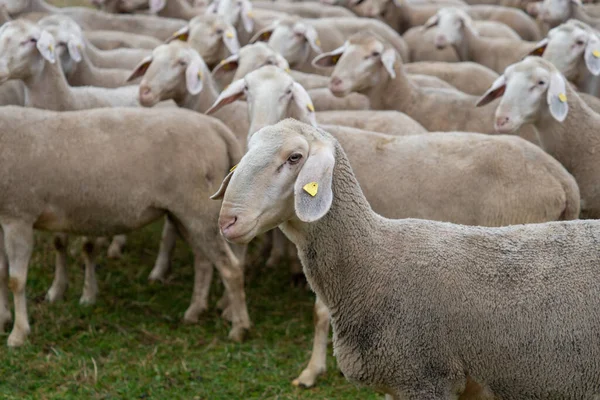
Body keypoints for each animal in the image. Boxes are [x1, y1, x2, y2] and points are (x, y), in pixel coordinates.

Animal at [0, 106, 250, 346]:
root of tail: (216, 127)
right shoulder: (3, 220)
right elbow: (2, 272)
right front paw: (4, 319)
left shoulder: (18, 216)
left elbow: (16, 280)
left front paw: (18, 334)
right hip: (184, 214)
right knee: (204, 261)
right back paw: (194, 311)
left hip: (197, 207)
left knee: (231, 268)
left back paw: (239, 328)